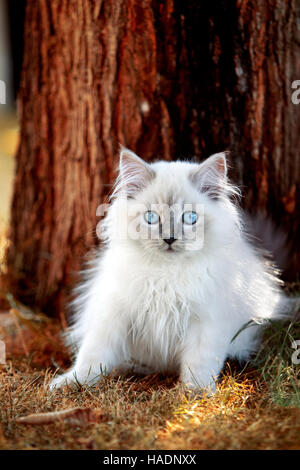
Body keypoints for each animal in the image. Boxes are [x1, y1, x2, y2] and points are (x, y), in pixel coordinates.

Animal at [50, 148, 294, 392]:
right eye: (151, 217)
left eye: (190, 218)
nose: (169, 238)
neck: (166, 273)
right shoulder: (113, 313)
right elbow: (92, 357)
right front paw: (71, 383)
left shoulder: (206, 321)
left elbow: (199, 365)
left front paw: (196, 393)